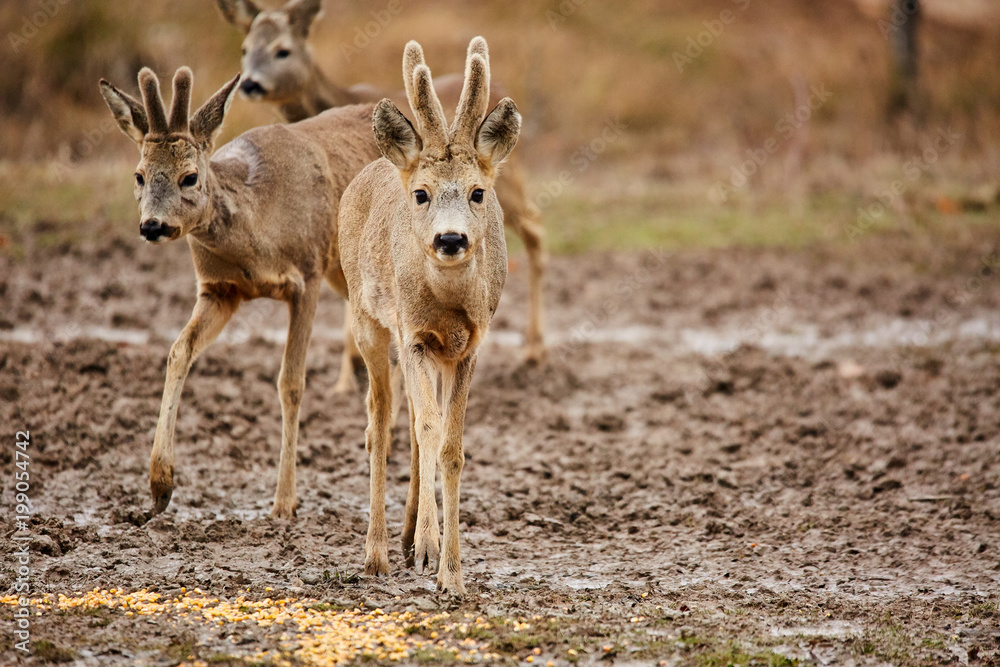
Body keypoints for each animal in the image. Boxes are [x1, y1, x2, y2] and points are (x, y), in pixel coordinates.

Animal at [99, 66, 382, 519]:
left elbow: (291, 382)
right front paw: (159, 487)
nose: (152, 226)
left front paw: (284, 502)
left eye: (189, 177)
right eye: (139, 176)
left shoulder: (308, 276)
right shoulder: (219, 291)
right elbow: (178, 351)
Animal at [218, 0, 546, 364]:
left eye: (282, 50)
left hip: (511, 185)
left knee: (535, 227)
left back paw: (535, 349)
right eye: (245, 48)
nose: (249, 83)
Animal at [338, 37, 519, 595]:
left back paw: (408, 539)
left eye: (478, 192)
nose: (451, 238)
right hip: (368, 320)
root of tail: (385, 162)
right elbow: (425, 429)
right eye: (421, 194)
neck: (448, 308)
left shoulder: (467, 347)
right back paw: (377, 553)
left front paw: (451, 574)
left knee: (418, 423)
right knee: (381, 419)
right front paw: (432, 552)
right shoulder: (414, 335)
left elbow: (450, 447)